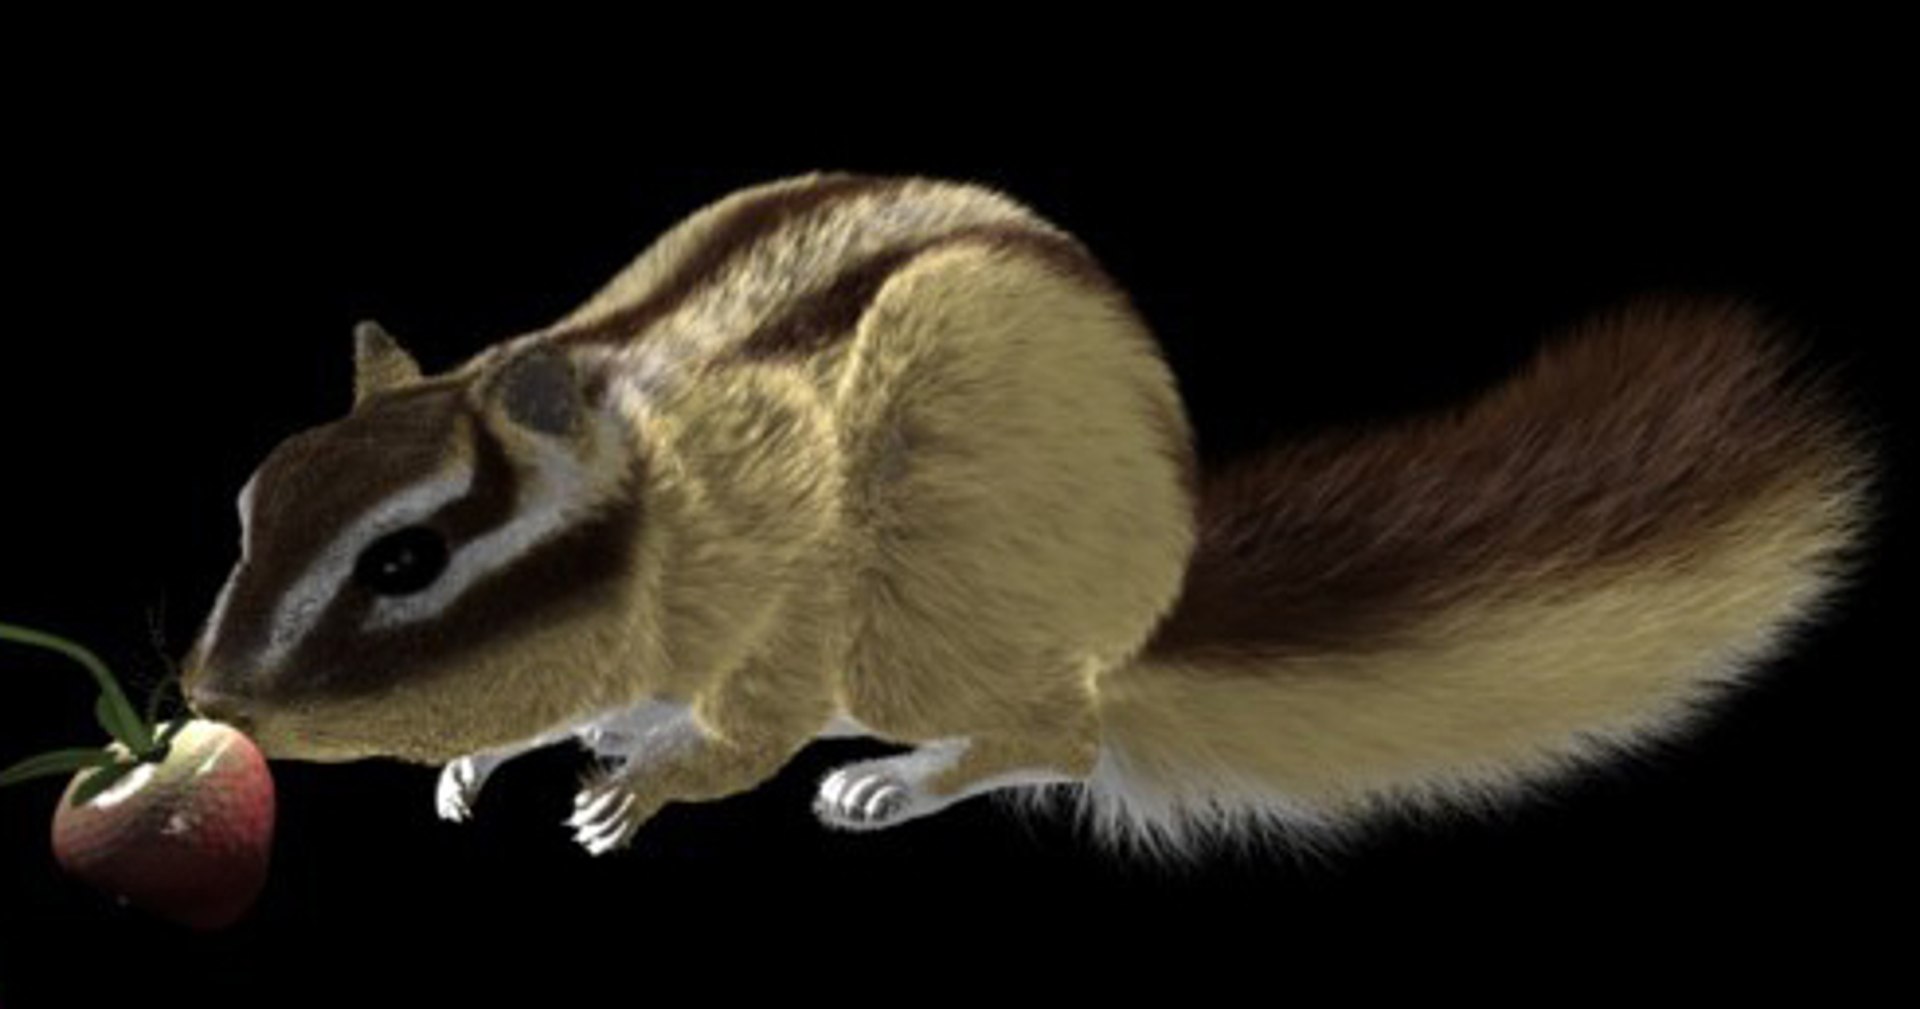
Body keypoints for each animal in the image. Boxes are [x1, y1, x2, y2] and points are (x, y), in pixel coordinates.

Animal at [178, 171, 1880, 858]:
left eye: (407, 560)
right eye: (254, 497)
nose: (212, 697)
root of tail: (1152, 593)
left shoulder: (787, 598)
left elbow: (744, 728)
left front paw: (644, 782)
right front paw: (486, 757)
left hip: (918, 621)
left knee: (1058, 733)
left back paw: (897, 780)